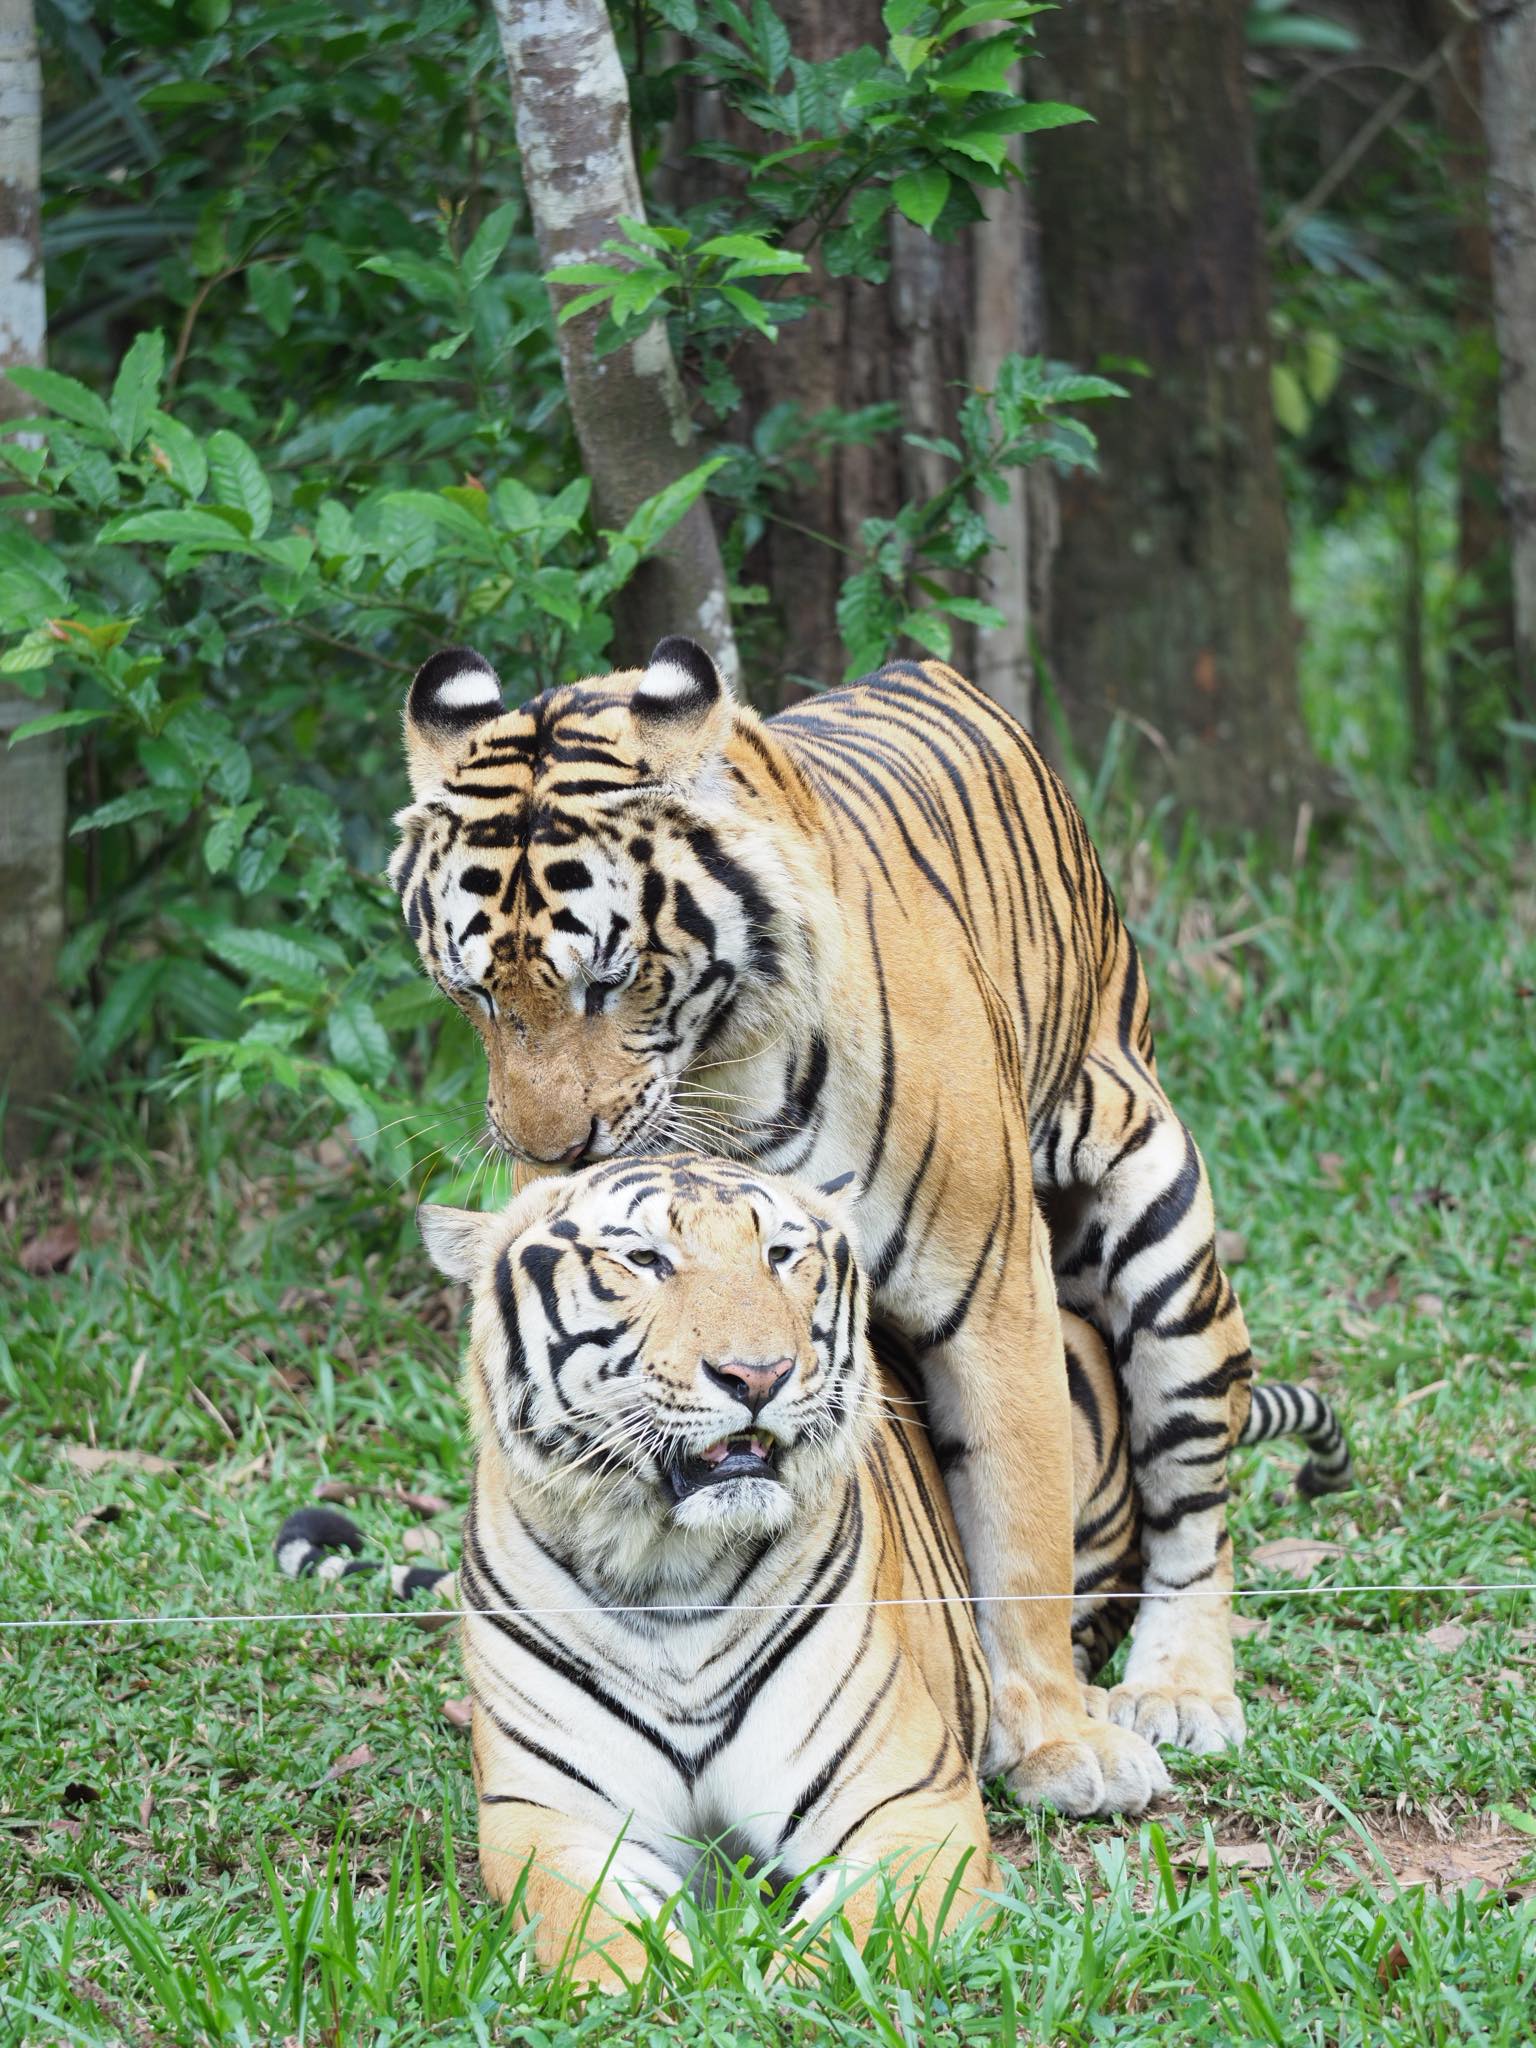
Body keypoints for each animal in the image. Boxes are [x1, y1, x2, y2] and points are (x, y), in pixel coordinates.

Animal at [387, 633, 1273, 1805]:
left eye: (608, 982)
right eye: (474, 992)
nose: (550, 1151)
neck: (722, 1079)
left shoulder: (993, 1291)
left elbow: (1021, 1528)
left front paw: (1054, 1740)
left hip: (1159, 1235)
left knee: (1191, 1502)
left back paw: (1180, 1689)